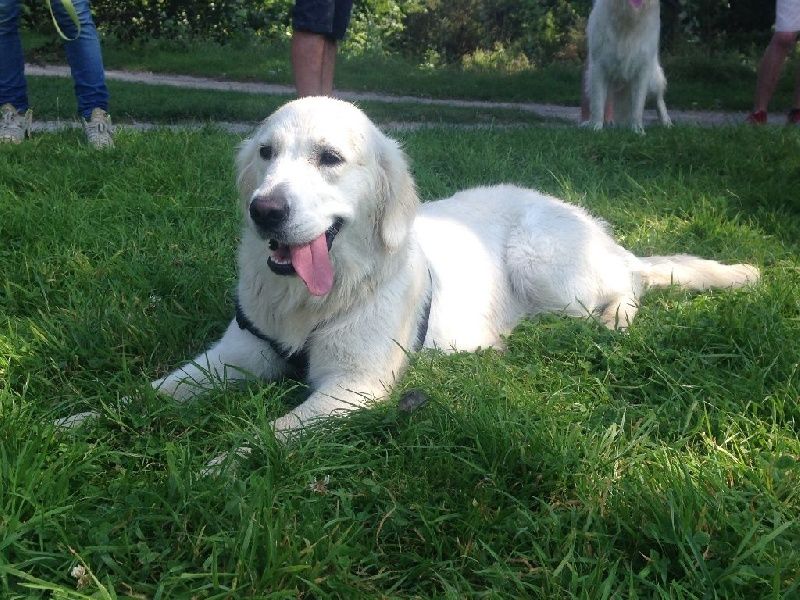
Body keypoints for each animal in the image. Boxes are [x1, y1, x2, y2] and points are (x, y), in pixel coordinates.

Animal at [57, 98, 756, 454]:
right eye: (265, 153)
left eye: (329, 158)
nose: (265, 211)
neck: (314, 298)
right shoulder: (236, 353)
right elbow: (155, 391)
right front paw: (77, 422)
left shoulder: (355, 386)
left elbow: (267, 436)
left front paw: (219, 468)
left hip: (546, 262)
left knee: (627, 288)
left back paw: (615, 319)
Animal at [584, 0, 672, 132]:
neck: (628, 16)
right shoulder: (598, 67)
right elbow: (598, 103)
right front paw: (596, 127)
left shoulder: (642, 70)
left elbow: (638, 106)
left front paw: (637, 130)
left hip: (653, 80)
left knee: (659, 100)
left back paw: (666, 122)